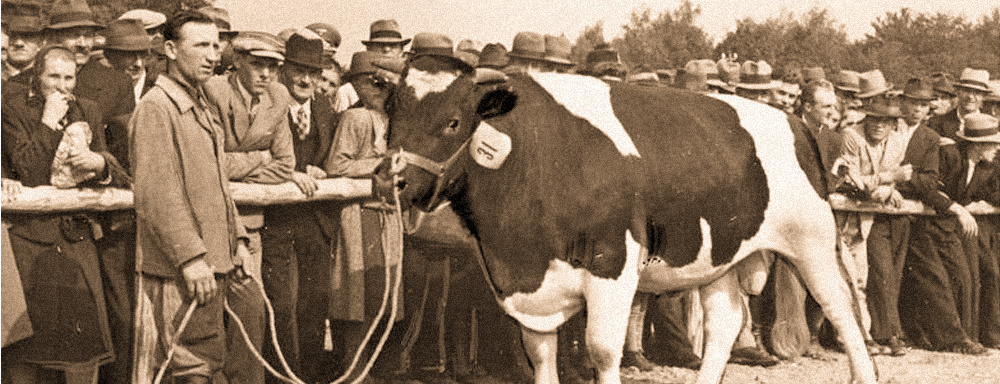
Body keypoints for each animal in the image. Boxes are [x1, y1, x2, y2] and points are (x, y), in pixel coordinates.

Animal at [374, 56, 876, 384]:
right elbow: (540, 356)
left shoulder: (611, 261)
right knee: (725, 324)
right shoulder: (526, 285)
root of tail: (797, 122)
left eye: (453, 122)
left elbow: (601, 348)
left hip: (812, 242)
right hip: (721, 257)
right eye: (391, 115)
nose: (387, 179)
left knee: (842, 311)